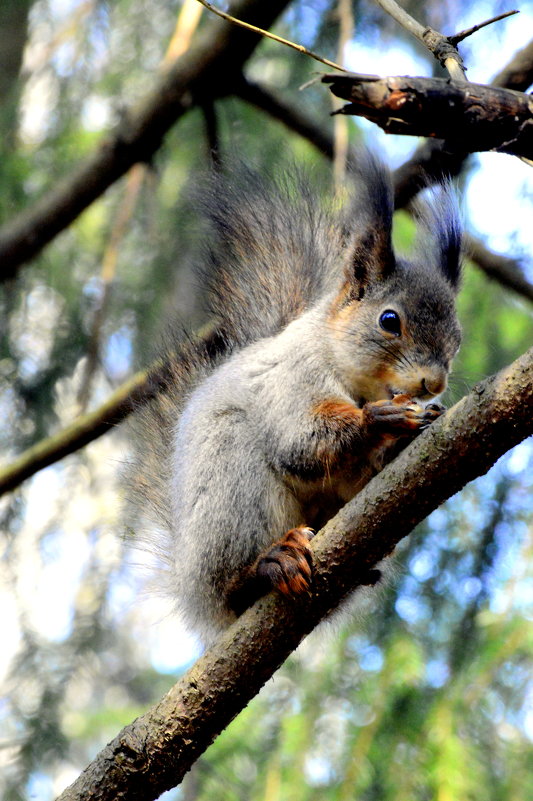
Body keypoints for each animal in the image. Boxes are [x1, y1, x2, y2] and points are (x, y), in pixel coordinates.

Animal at [130, 155, 462, 644]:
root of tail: (193, 594)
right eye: (389, 321)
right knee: (234, 583)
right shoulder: (293, 379)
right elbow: (301, 442)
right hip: (232, 490)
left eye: (457, 341)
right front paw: (382, 419)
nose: (433, 383)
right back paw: (268, 564)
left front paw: (407, 435)